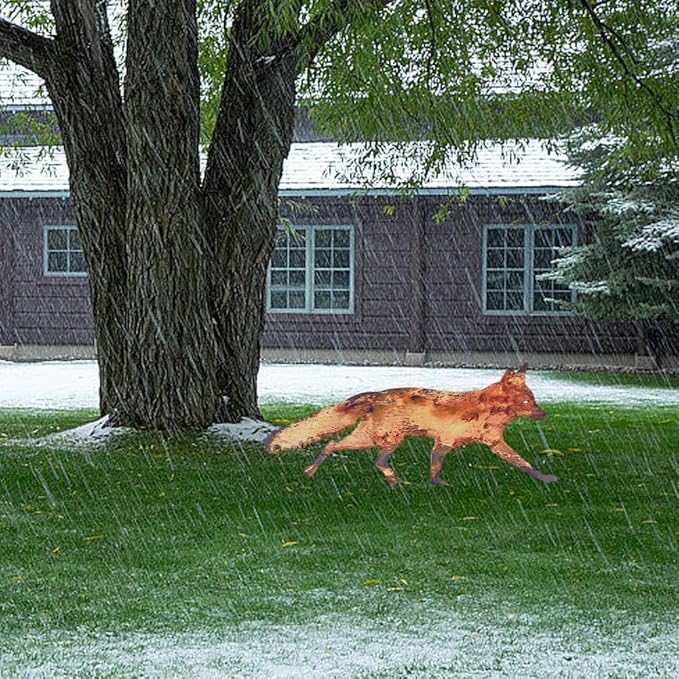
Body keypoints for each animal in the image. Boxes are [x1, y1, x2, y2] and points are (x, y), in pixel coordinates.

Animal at [264, 366, 557, 486]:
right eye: (529, 401)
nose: (544, 414)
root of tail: (376, 394)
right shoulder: (455, 441)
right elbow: (523, 463)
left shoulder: (449, 442)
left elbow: (434, 466)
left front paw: (437, 484)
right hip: (387, 439)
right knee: (370, 458)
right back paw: (395, 481)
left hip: (371, 438)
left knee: (334, 444)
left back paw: (311, 471)